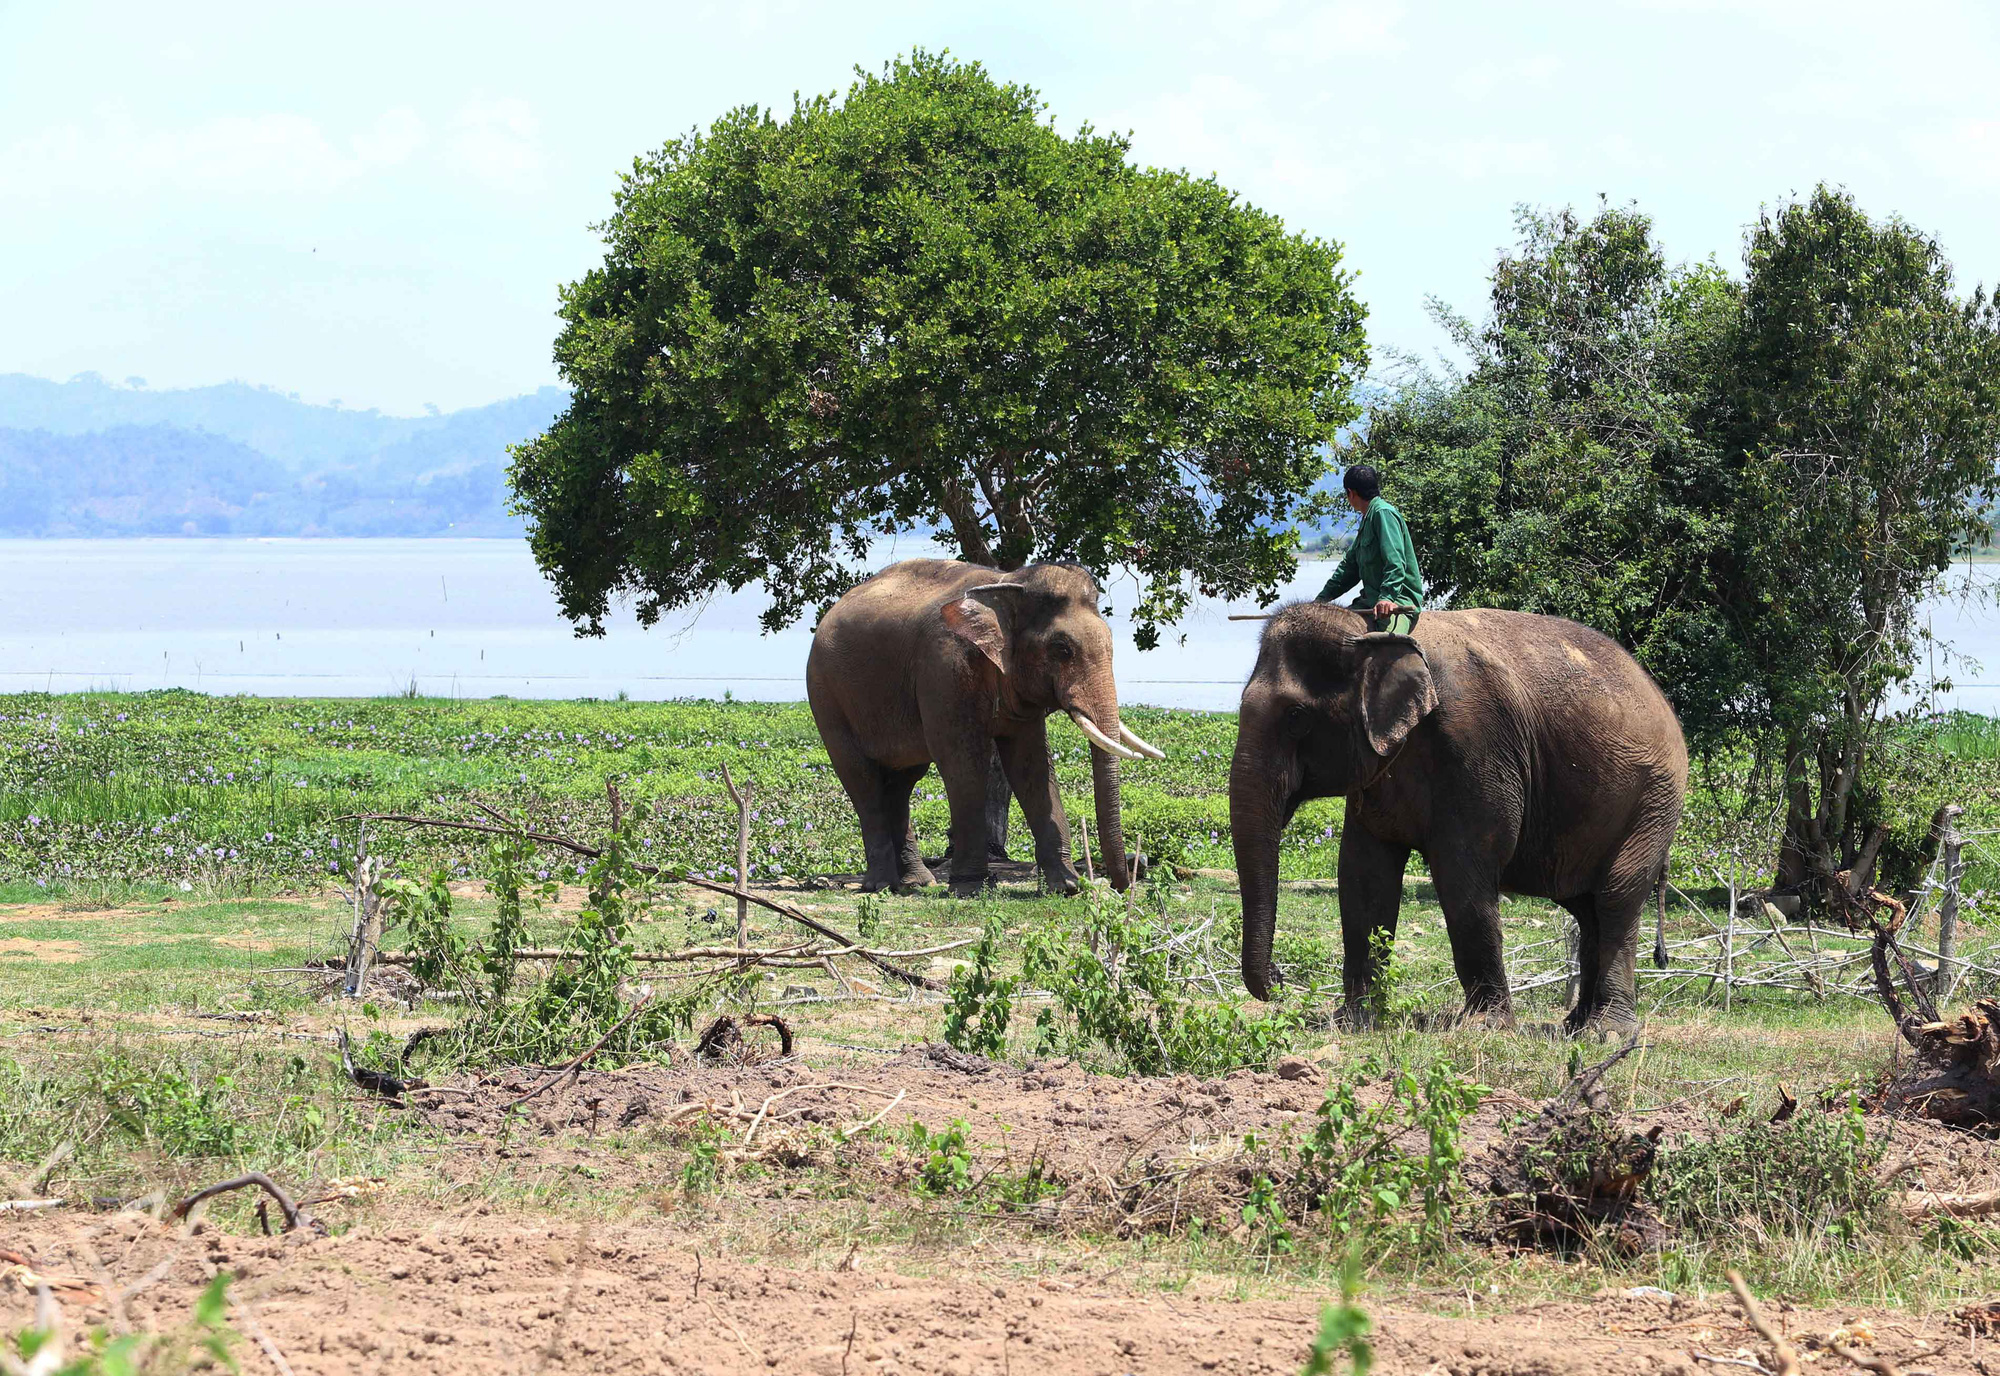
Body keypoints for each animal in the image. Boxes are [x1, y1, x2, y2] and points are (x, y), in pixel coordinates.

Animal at [1232, 600, 1688, 1032]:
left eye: (1296, 717)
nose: (1279, 978)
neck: (1366, 633)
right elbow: (1363, 875)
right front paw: (1355, 1020)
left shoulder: (1477, 742)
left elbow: (1463, 871)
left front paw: (1485, 1026)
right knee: (1586, 908)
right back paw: (1575, 1025)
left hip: (1655, 801)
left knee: (1617, 896)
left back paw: (1607, 1032)